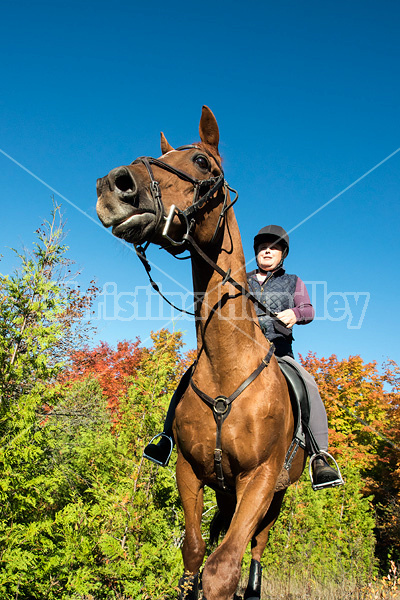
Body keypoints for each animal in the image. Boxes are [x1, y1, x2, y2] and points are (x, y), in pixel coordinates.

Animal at [97, 108, 306, 600]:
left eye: (202, 162)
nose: (115, 184)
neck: (226, 367)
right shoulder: (189, 471)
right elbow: (194, 555)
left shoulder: (260, 480)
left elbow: (222, 570)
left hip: (275, 496)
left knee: (255, 551)